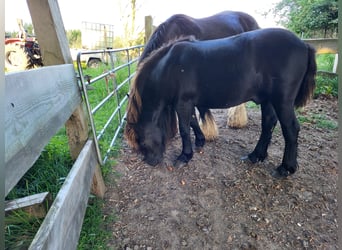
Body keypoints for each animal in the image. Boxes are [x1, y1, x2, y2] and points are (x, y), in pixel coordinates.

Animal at [124, 28, 316, 178]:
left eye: (140, 140)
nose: (151, 162)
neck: (169, 67)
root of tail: (303, 45)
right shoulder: (188, 103)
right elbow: (193, 122)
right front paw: (200, 142)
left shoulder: (183, 103)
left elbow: (185, 129)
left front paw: (184, 156)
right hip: (268, 100)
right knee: (268, 124)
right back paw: (255, 156)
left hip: (282, 101)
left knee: (291, 130)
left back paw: (286, 168)